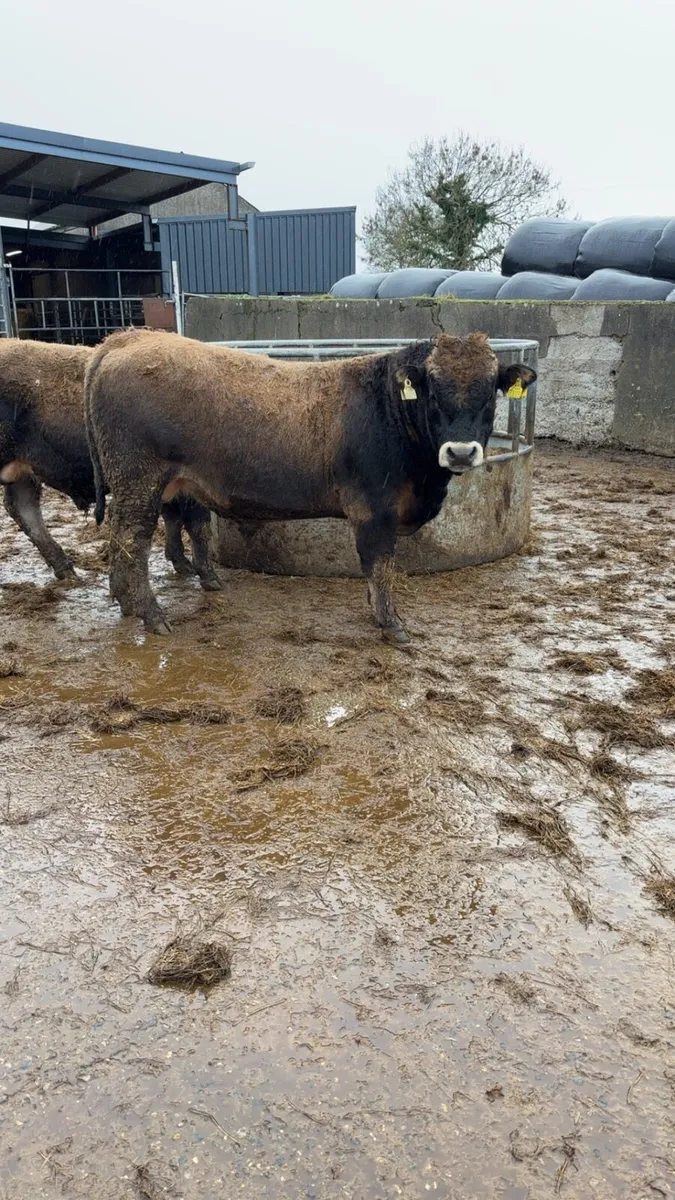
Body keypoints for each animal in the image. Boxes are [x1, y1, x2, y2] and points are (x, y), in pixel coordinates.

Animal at [0, 337, 220, 588]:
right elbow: (197, 526)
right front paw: (209, 576)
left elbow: (174, 520)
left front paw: (182, 563)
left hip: (23, 469)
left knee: (23, 507)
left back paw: (67, 570)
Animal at [84, 328, 536, 643]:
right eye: (434, 393)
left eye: (490, 395)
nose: (460, 453)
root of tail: (128, 337)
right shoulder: (374, 511)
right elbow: (380, 567)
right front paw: (391, 623)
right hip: (139, 482)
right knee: (132, 543)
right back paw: (152, 615)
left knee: (122, 541)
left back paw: (126, 603)